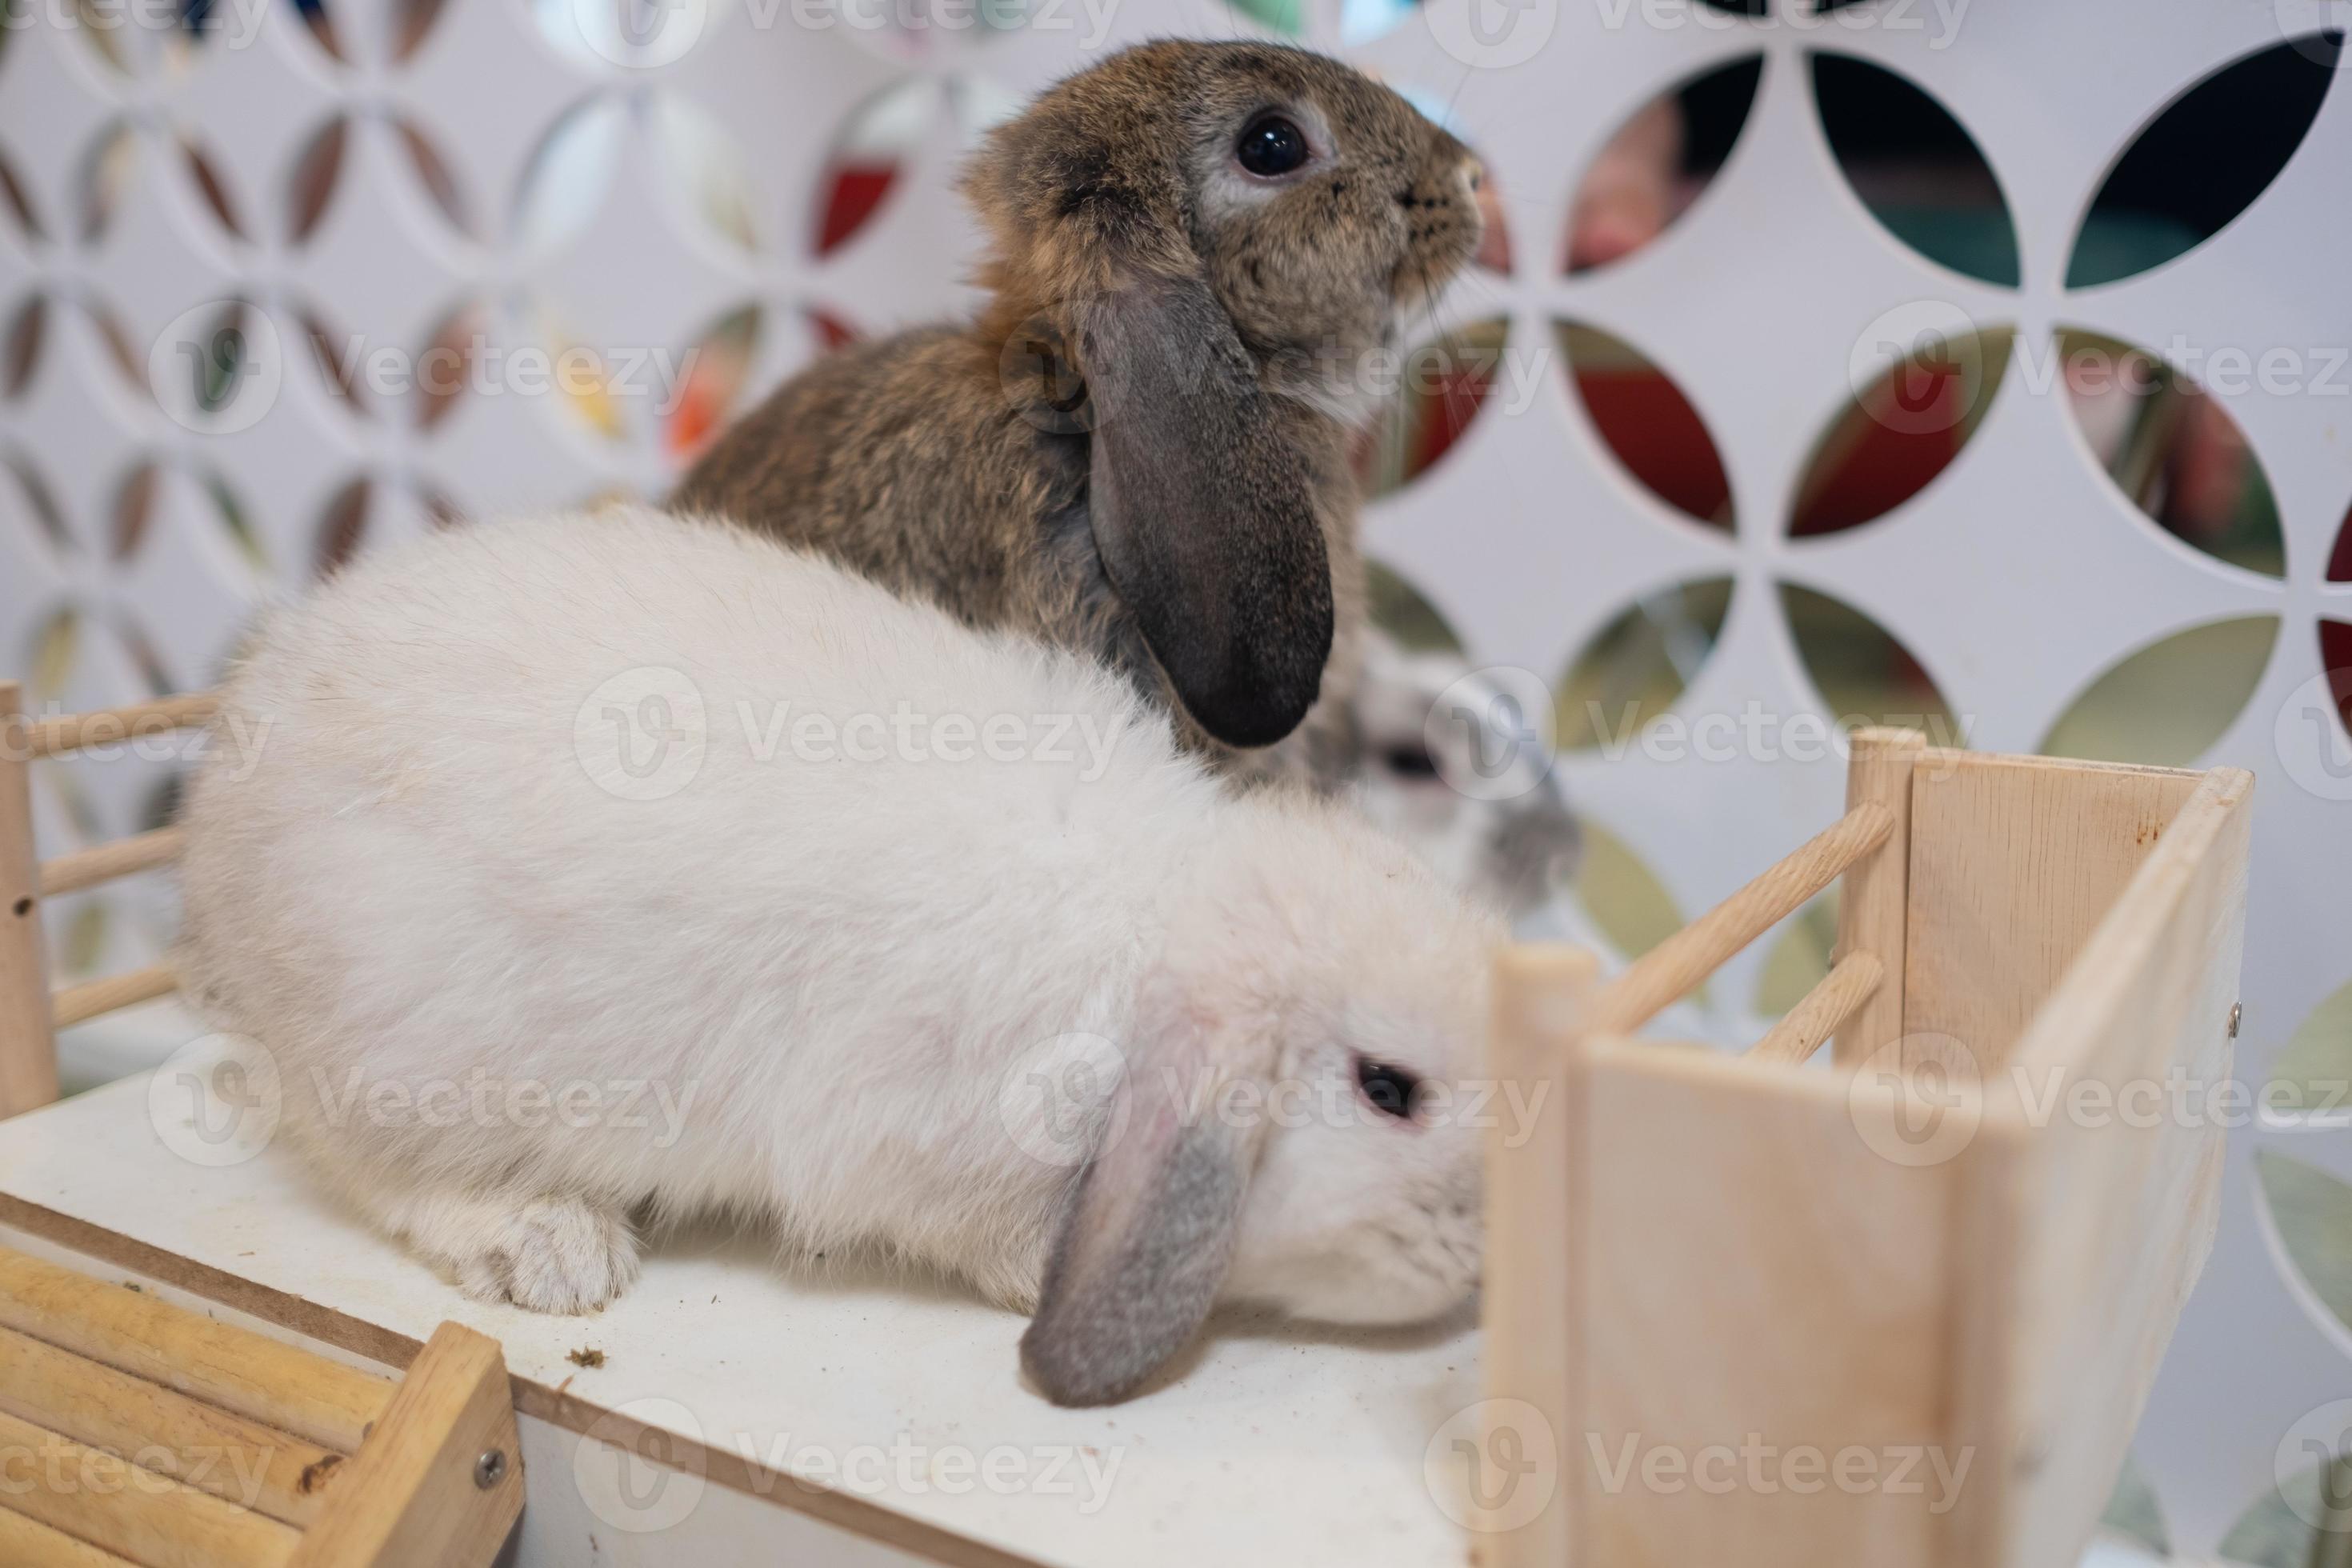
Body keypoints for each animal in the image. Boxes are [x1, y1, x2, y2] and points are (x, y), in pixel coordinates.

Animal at [183, 505, 1505, 1410]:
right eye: (1388, 1090)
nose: (1480, 1256)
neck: (1149, 946)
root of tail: (226, 805)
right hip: (409, 1051)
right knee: (384, 1175)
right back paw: (559, 1250)